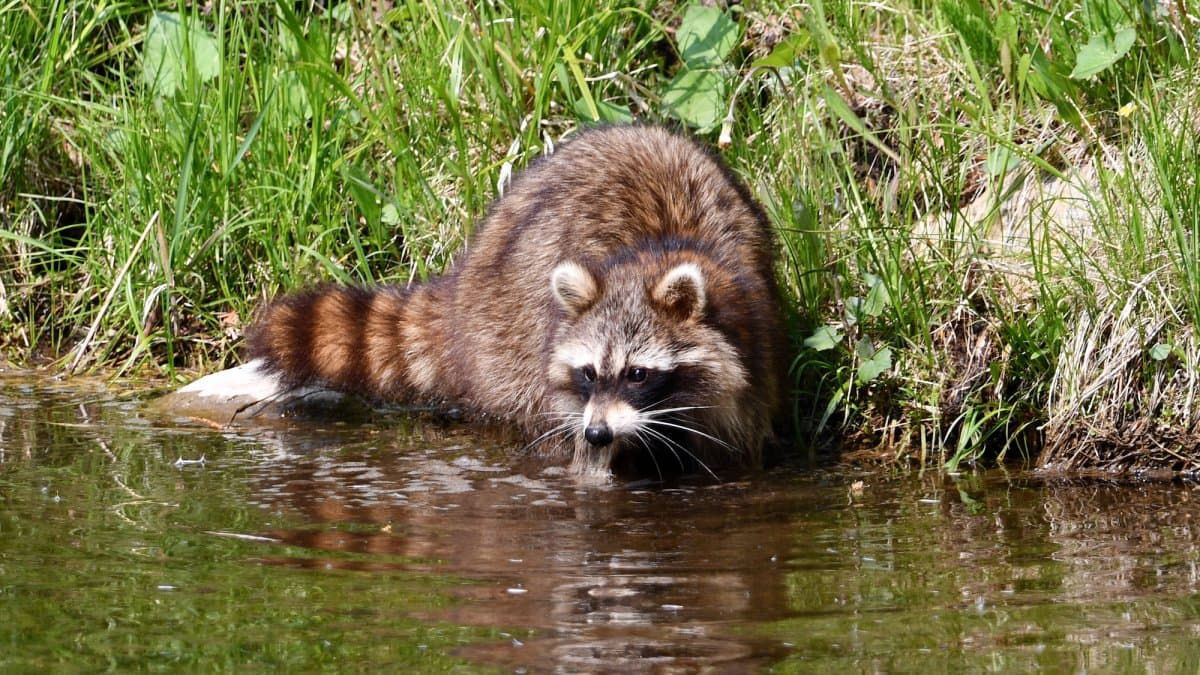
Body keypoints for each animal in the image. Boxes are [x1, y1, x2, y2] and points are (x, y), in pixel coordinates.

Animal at [247, 125, 789, 480]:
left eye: (638, 373)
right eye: (589, 372)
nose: (597, 434)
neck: (657, 253)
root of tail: (466, 282)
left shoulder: (755, 344)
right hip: (509, 335)